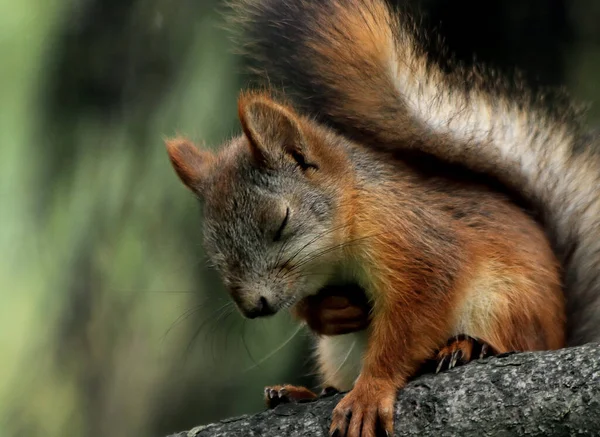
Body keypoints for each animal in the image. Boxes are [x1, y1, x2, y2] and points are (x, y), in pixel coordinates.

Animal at [166, 90, 564, 434]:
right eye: (213, 252)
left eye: (281, 222)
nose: (253, 306)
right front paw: (332, 312)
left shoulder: (417, 244)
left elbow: (411, 320)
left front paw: (370, 393)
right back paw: (296, 393)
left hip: (505, 304)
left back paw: (467, 348)